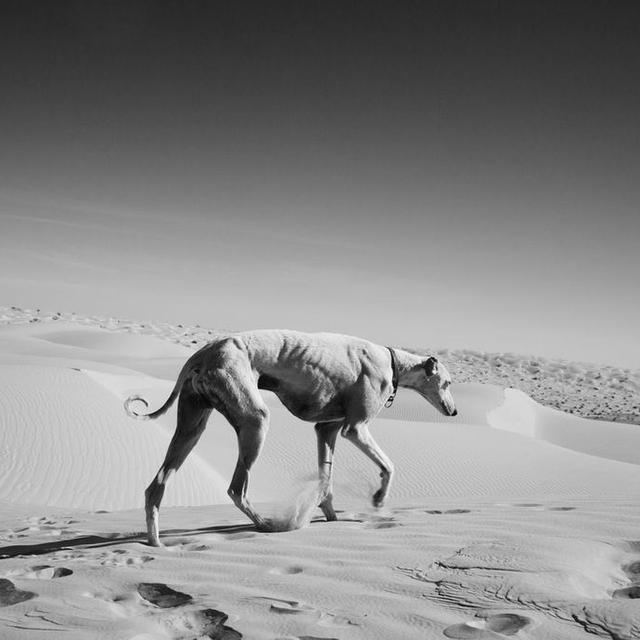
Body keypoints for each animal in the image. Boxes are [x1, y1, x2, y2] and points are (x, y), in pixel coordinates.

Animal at [124, 330, 456, 544]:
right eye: (448, 382)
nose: (453, 411)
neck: (392, 362)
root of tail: (201, 353)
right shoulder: (355, 428)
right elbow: (388, 466)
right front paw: (377, 499)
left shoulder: (327, 429)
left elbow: (325, 479)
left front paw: (331, 515)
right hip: (254, 420)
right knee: (236, 489)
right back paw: (270, 525)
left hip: (192, 425)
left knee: (155, 487)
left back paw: (155, 542)